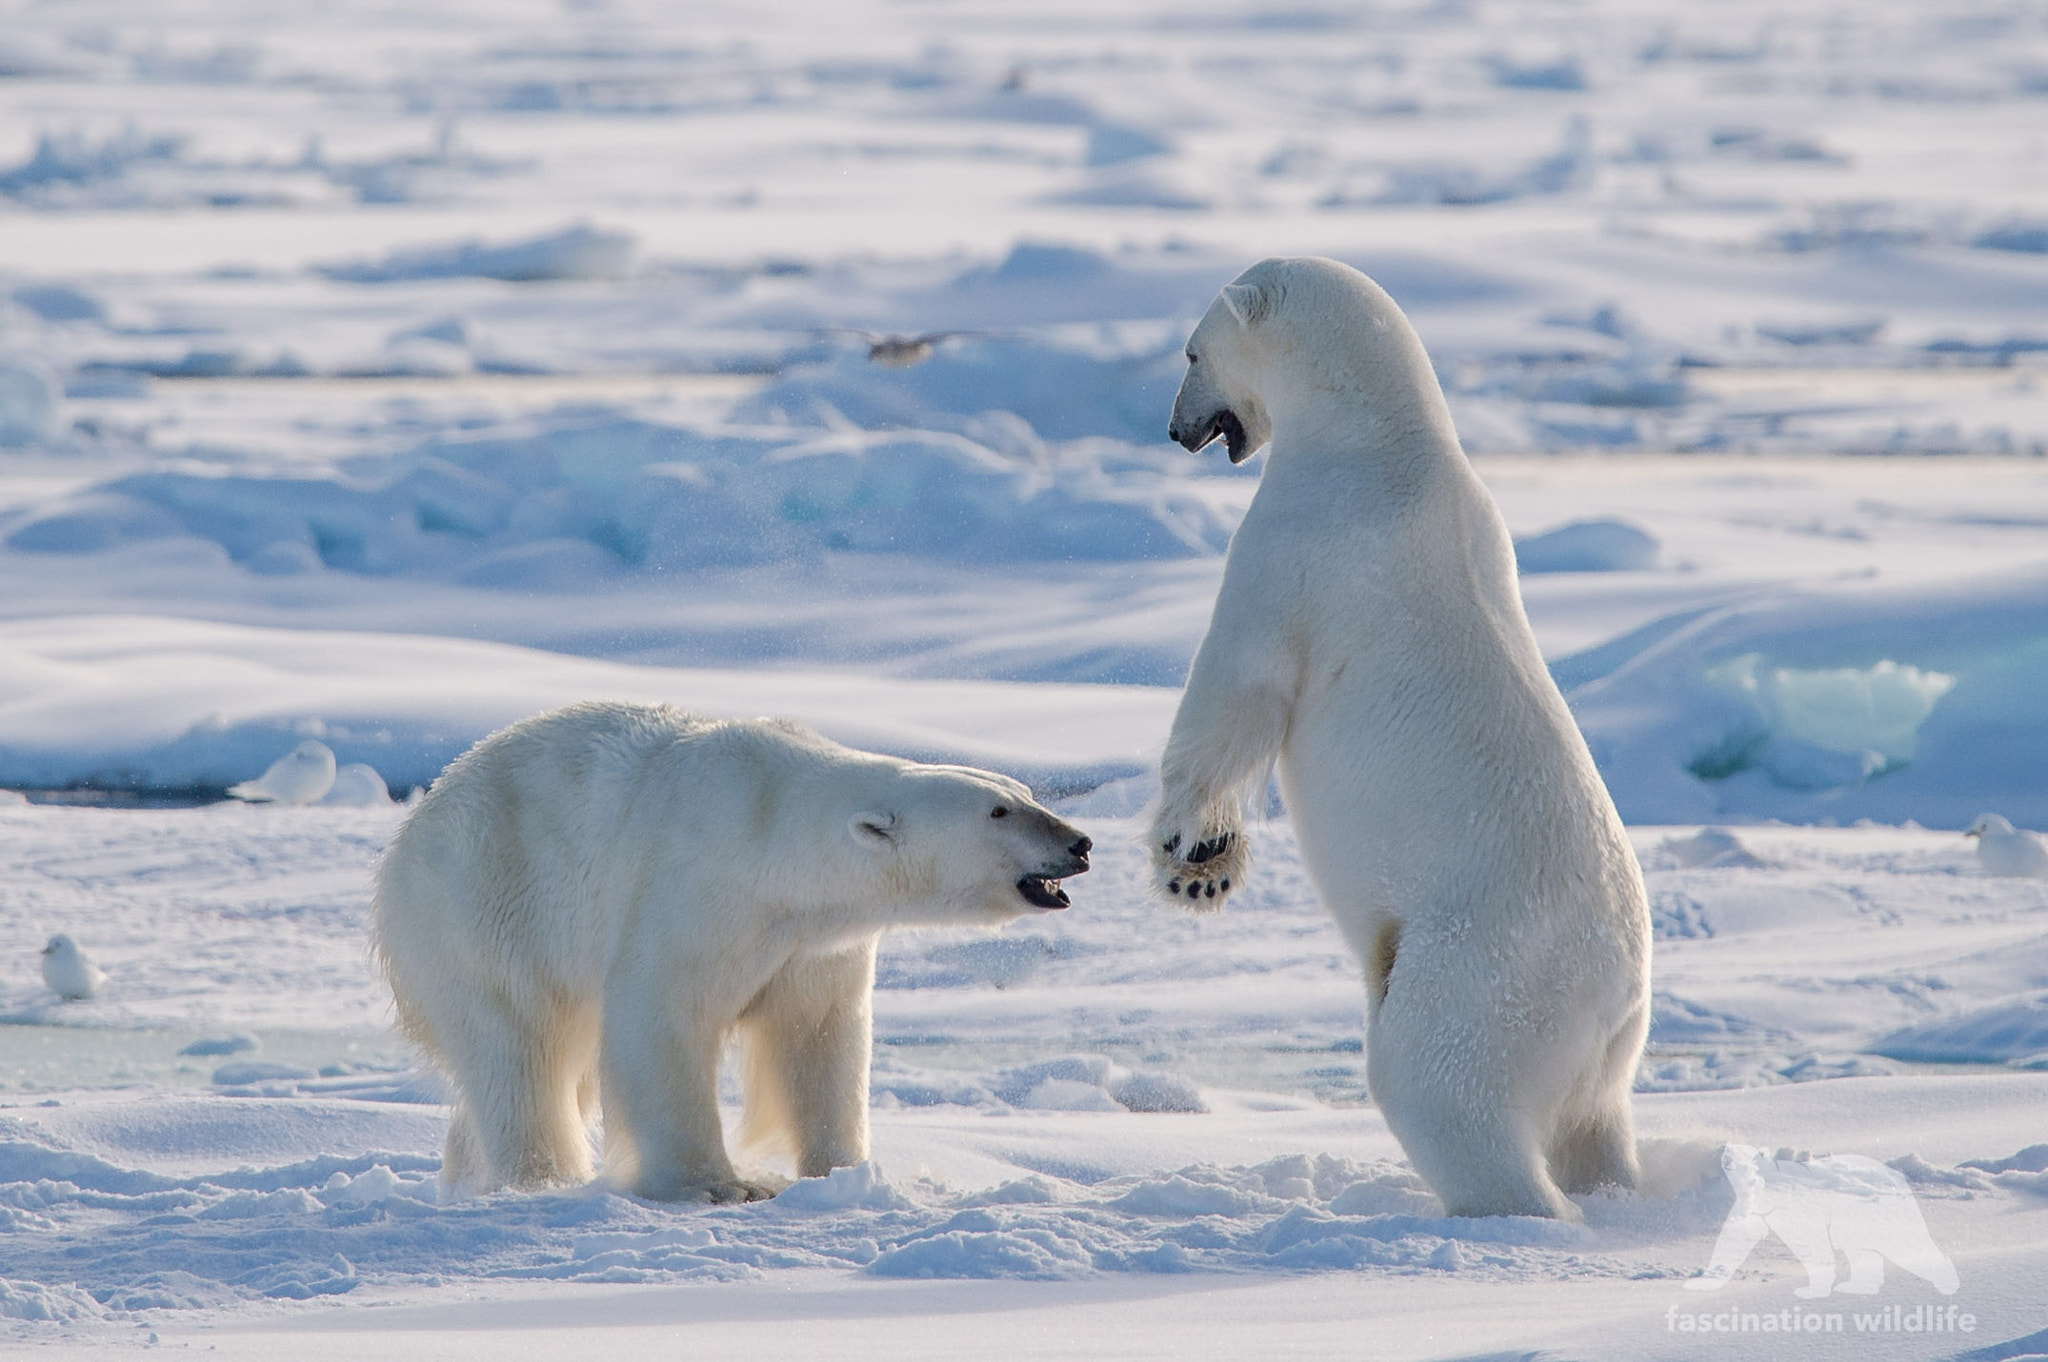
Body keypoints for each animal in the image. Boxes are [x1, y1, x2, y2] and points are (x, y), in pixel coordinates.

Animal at [372, 701, 1091, 1202]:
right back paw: (540, 1178)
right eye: (998, 812)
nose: (1079, 842)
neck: (775, 838)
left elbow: (820, 1036)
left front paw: (844, 1171)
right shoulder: (696, 888)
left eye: (1026, 794)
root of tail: (414, 825)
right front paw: (722, 1184)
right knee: (519, 1050)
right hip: (484, 906)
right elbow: (662, 1019)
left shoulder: (815, 943)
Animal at [1150, 256, 1651, 1220]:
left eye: (1192, 352)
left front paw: (1192, 860)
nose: (1174, 429)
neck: (1383, 444)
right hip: (1605, 1051)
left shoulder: (1297, 545)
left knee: (1438, 1081)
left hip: (1481, 966)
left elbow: (1236, 687)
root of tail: (1613, 996)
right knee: (1591, 1125)